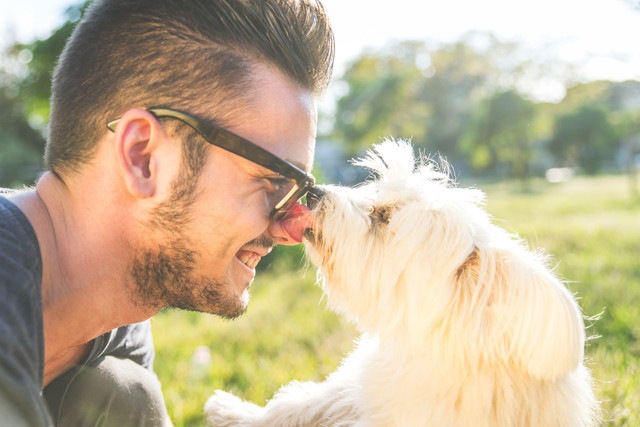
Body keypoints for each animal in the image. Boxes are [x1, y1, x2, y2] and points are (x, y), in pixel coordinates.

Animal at [205, 139, 600, 426]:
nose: (314, 193)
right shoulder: (362, 388)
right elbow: (303, 402)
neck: (426, 346)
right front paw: (235, 412)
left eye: (383, 216)